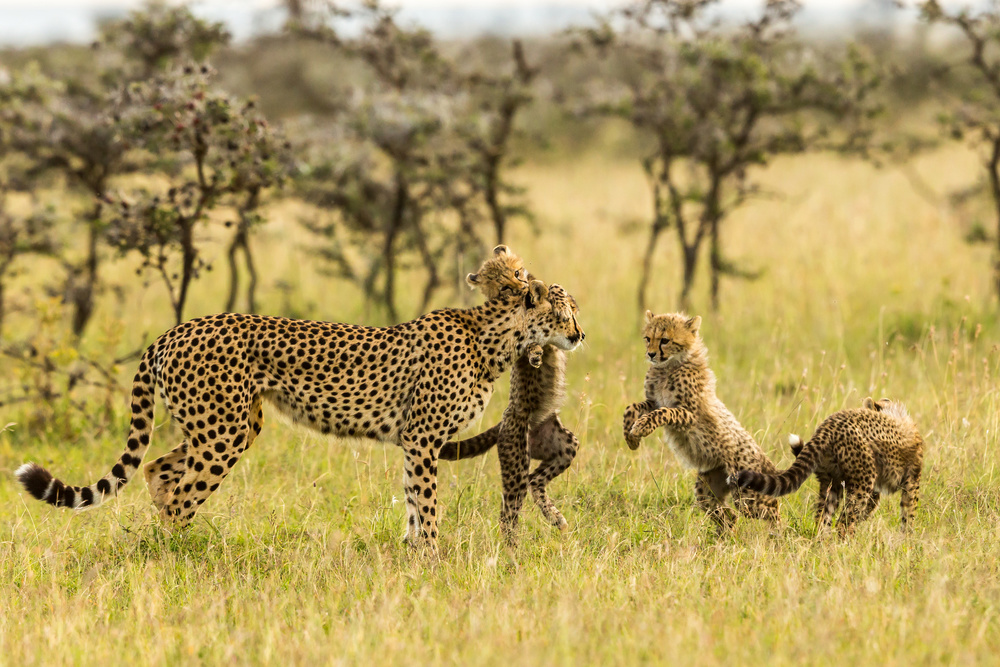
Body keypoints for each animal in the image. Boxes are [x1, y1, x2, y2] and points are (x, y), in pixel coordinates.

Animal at [17, 282, 584, 552]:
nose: (579, 334)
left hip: (235, 425)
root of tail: (173, 330)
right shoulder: (423, 437)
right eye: (565, 311)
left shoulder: (413, 441)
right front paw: (432, 559)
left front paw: (411, 554)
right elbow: (427, 504)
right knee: (179, 494)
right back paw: (176, 555)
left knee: (158, 470)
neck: (497, 336)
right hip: (222, 432)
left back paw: (170, 544)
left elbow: (411, 501)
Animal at [440, 248, 584, 536]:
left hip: (565, 445)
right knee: (514, 503)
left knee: (535, 480)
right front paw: (536, 353)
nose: (523, 290)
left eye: (517, 273)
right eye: (504, 287)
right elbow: (530, 344)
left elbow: (557, 287)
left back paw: (554, 517)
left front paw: (559, 303)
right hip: (516, 458)